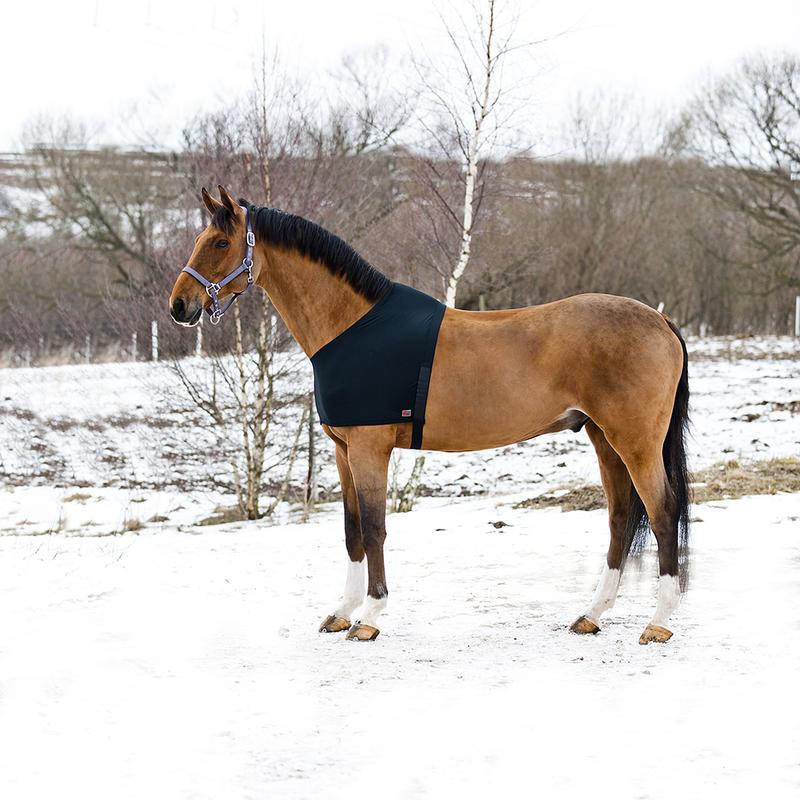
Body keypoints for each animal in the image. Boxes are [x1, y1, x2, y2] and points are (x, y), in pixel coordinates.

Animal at [169, 185, 690, 645]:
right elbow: (351, 530)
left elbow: (374, 529)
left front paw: (370, 617)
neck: (352, 328)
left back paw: (659, 623)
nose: (179, 306)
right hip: (605, 439)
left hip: (635, 443)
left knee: (663, 514)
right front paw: (342, 612)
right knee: (620, 518)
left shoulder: (369, 449)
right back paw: (591, 616)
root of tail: (660, 320)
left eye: (220, 242)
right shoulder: (342, 451)